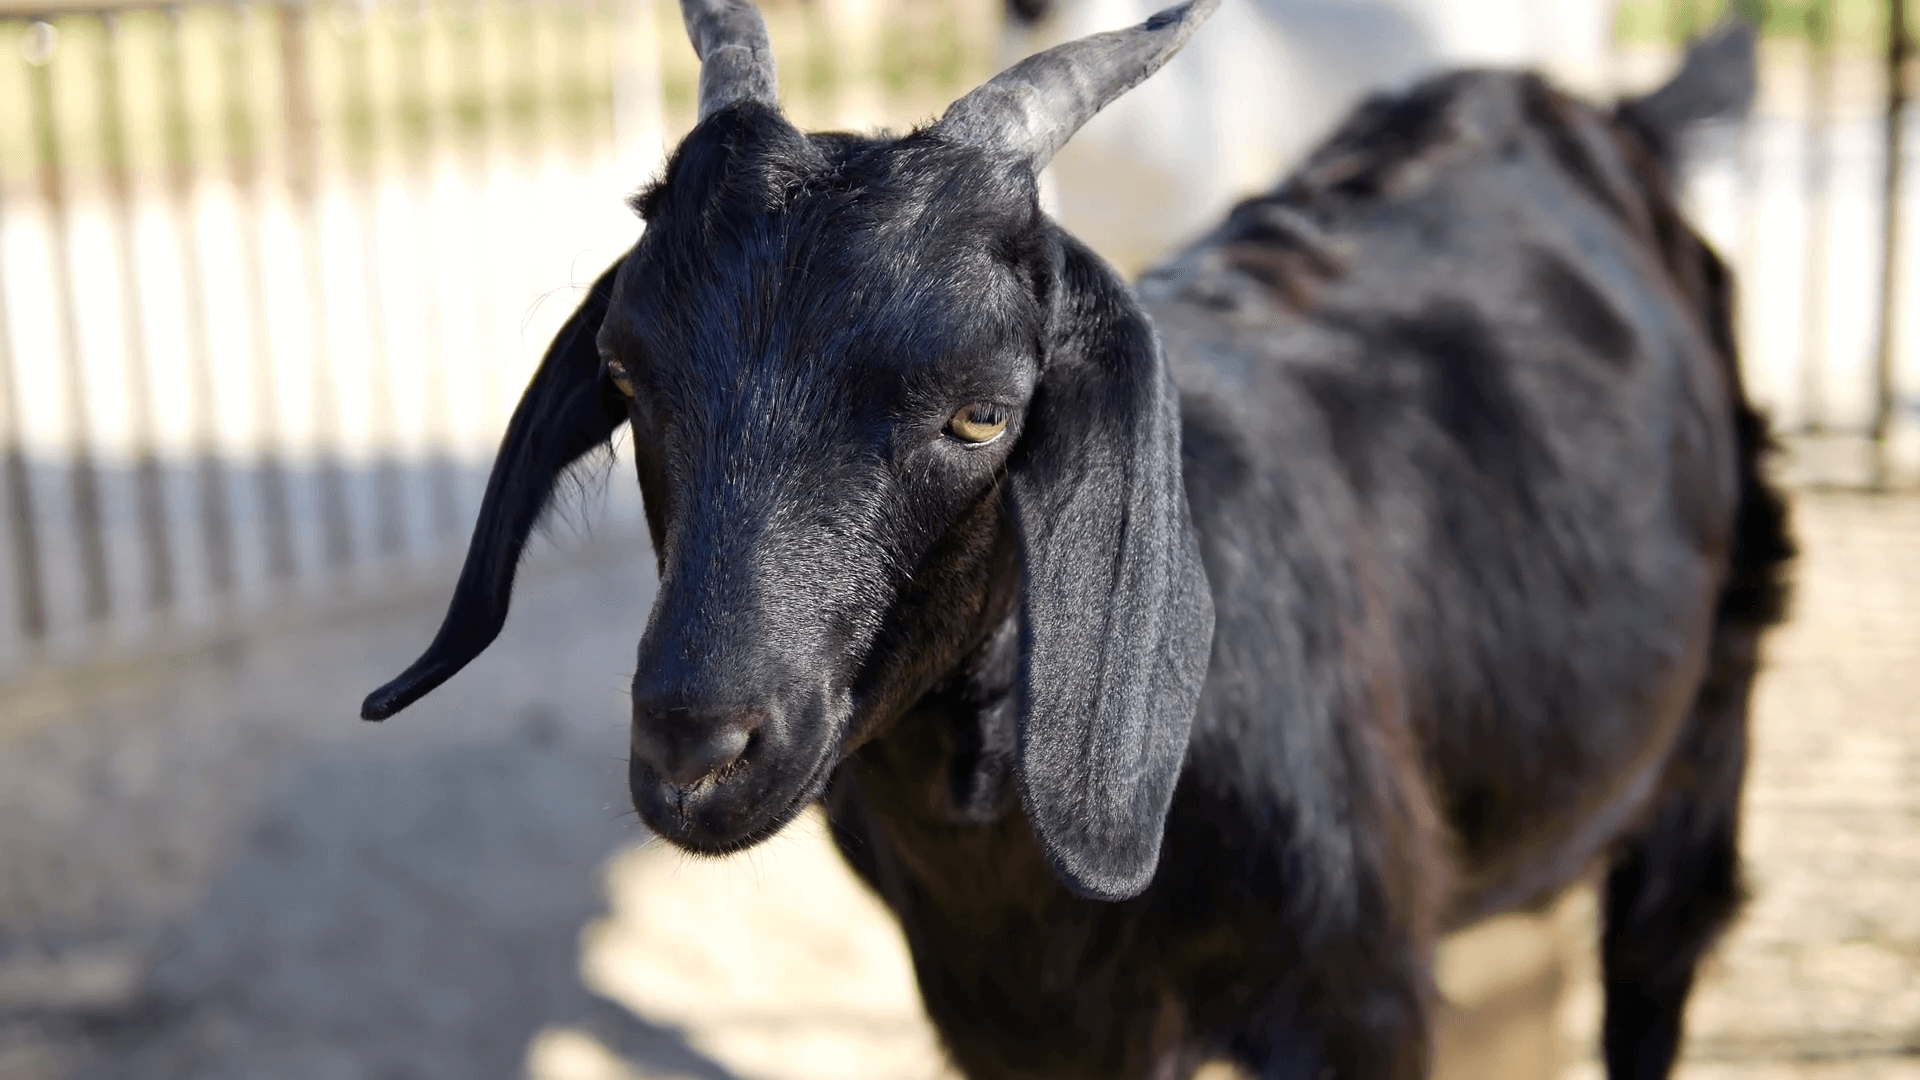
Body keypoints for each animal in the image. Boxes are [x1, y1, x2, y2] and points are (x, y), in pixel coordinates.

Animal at [364, 3, 1792, 1077]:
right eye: (624, 367)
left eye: (983, 411)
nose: (694, 753)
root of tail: (1597, 118)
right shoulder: (1020, 1028)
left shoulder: (1354, 991)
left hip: (1708, 730)